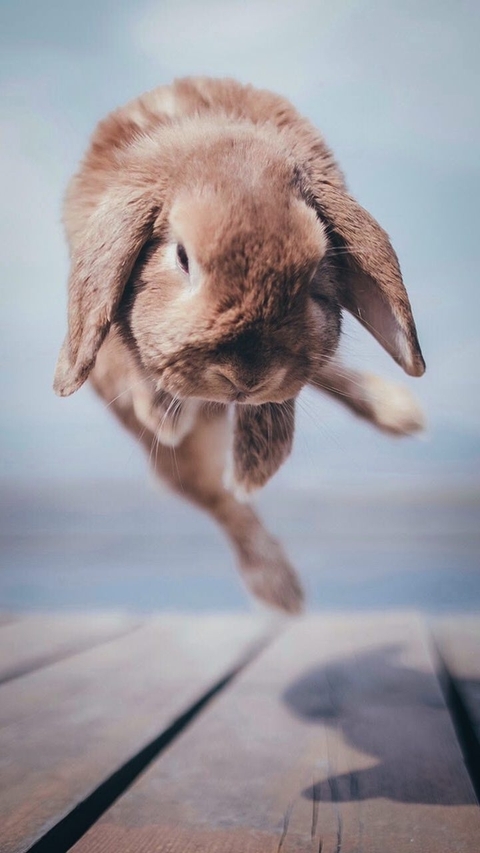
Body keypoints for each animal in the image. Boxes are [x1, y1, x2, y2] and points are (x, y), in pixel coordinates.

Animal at [54, 76, 425, 614]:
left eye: (317, 267)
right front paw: (167, 414)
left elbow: (285, 393)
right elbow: (136, 363)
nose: (245, 376)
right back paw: (278, 587)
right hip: (181, 462)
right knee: (219, 502)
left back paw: (396, 409)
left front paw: (257, 462)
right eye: (182, 257)